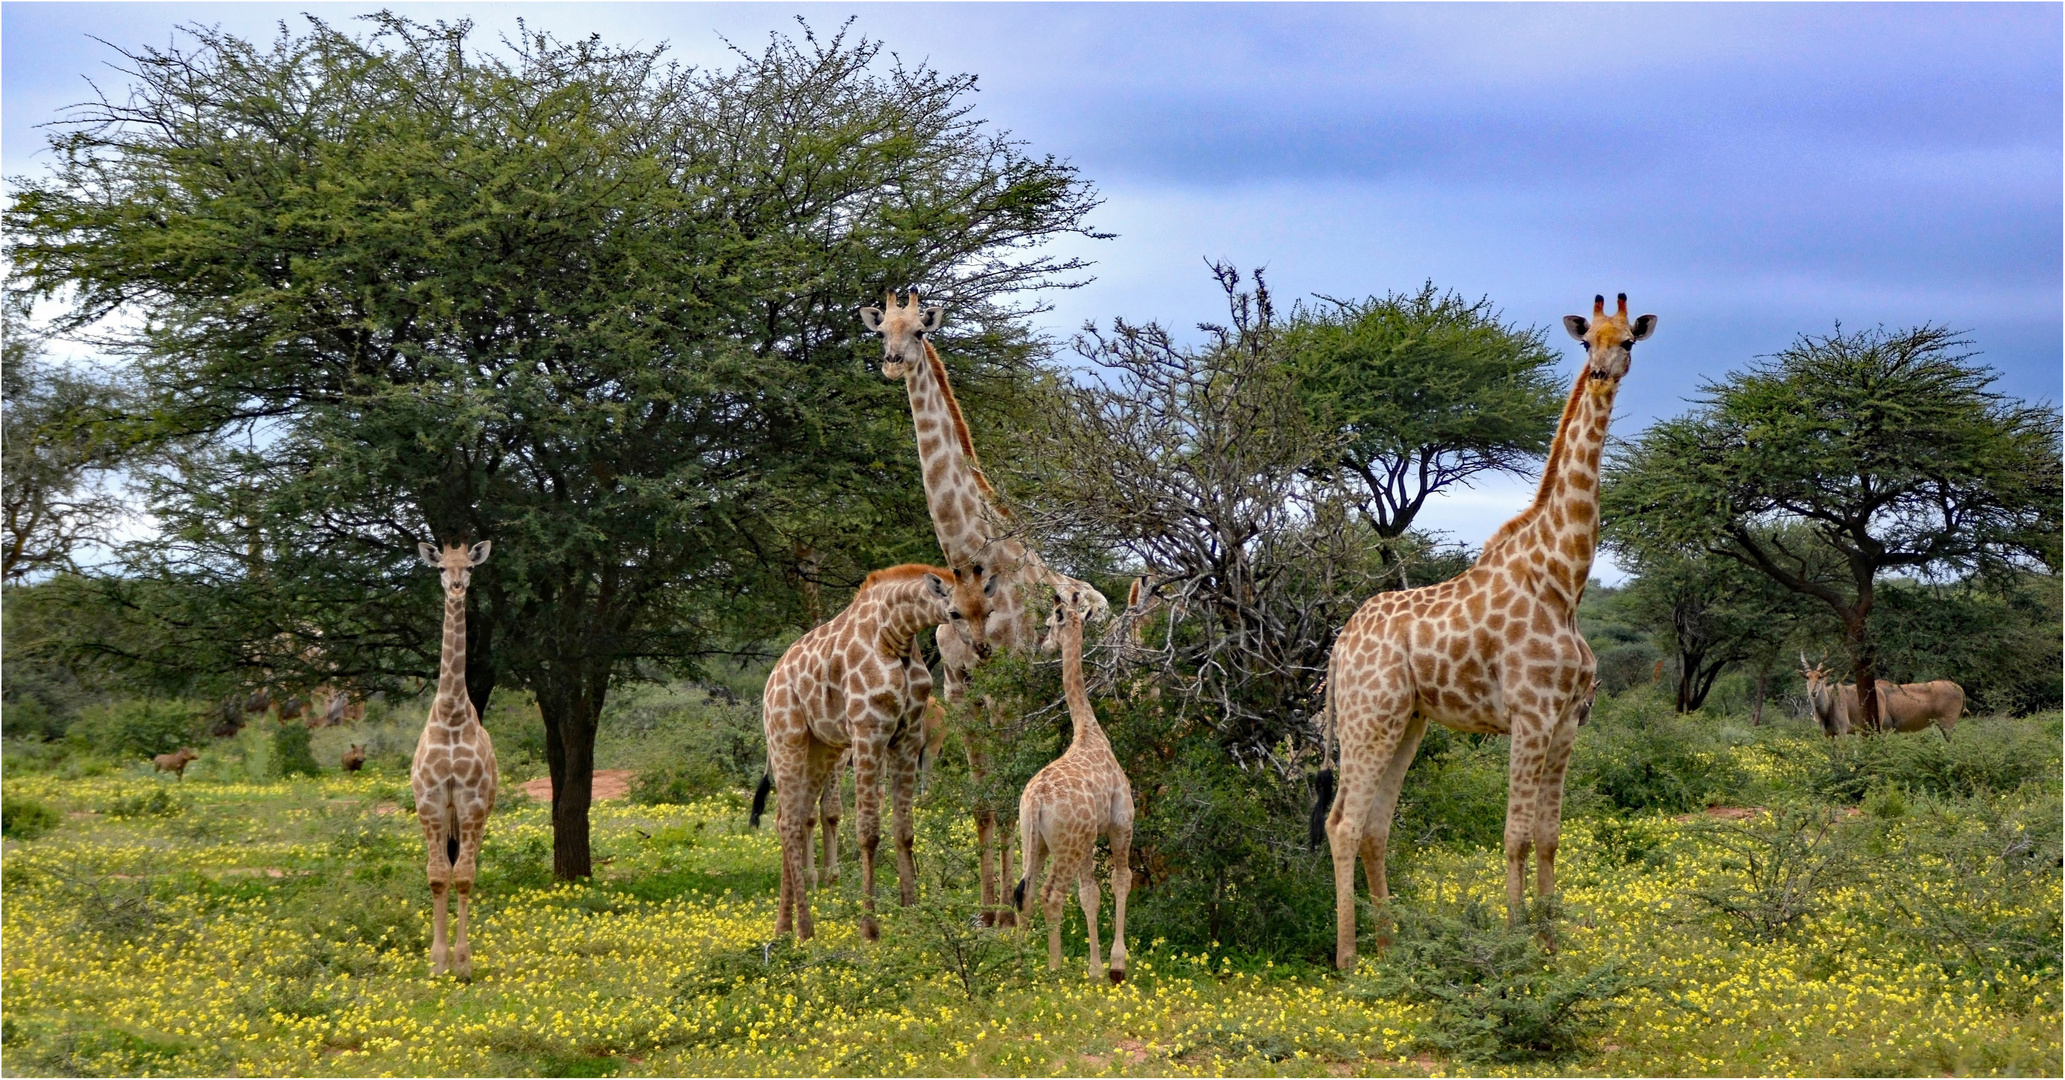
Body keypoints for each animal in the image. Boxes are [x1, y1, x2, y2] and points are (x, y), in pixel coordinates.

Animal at [755, 561, 995, 941]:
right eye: (954, 612)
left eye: (989, 609)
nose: (983, 650)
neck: (897, 633)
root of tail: (772, 679)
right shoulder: (869, 732)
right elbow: (868, 832)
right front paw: (869, 927)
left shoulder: (907, 737)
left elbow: (904, 828)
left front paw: (912, 912)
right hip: (786, 738)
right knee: (789, 821)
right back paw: (805, 929)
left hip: (822, 748)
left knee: (793, 816)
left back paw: (783, 927)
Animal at [859, 291, 1115, 925]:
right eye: (881, 331)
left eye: (919, 332)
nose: (893, 363)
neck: (970, 555)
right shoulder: (961, 690)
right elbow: (981, 802)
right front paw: (987, 908)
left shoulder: (1007, 690)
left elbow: (1004, 787)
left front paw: (1008, 910)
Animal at [1011, 586, 1139, 982]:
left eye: (1049, 623)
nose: (1044, 646)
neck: (1088, 730)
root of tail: (1037, 800)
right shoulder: (1119, 823)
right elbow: (1120, 880)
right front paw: (1115, 965)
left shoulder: (1088, 838)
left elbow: (1089, 894)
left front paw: (1095, 968)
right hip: (1065, 844)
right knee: (1051, 894)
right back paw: (1054, 968)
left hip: (1033, 840)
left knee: (1025, 893)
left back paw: (1016, 965)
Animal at [1313, 291, 1652, 966]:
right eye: (1586, 342)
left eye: (1628, 340)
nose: (1601, 374)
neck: (1564, 579)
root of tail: (1340, 646)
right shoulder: (1530, 714)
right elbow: (1515, 835)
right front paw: (1516, 942)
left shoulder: (1569, 721)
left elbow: (1548, 836)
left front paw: (1550, 944)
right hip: (1369, 718)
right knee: (1343, 823)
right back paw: (1350, 960)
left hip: (1407, 722)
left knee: (1375, 826)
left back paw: (1391, 946)